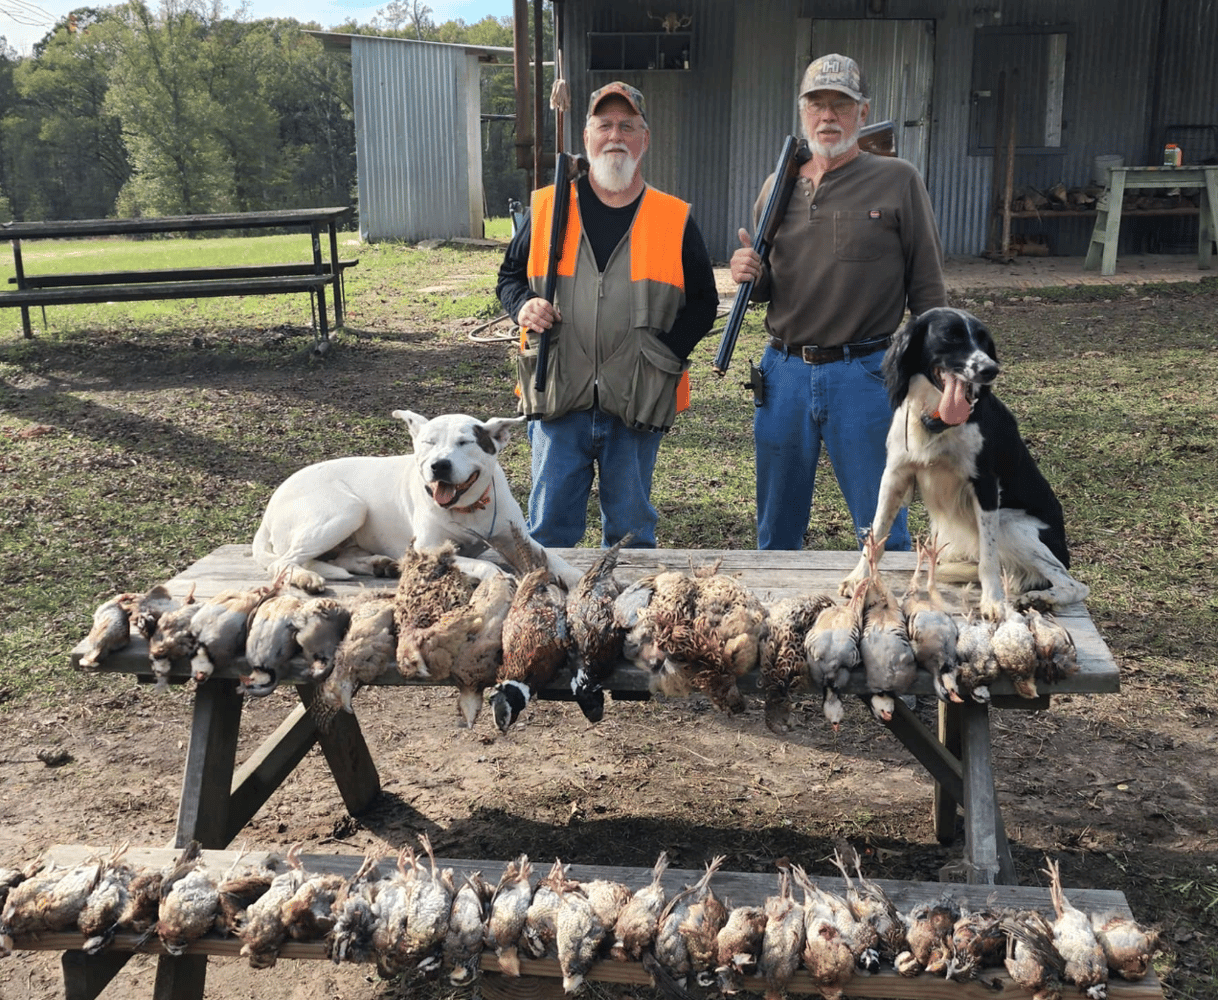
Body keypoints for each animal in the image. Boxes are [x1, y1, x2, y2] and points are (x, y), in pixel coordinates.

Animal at [249, 406, 577, 589]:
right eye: (428, 442)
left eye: (465, 442)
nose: (439, 465)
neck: (468, 508)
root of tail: (269, 510)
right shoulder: (429, 548)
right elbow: (482, 564)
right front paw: (495, 574)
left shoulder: (515, 537)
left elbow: (552, 556)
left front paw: (573, 576)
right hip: (348, 509)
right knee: (285, 562)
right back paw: (305, 578)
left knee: (334, 556)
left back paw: (379, 564)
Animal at [842, 305, 1091, 616]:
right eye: (951, 336)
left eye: (984, 341)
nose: (990, 370)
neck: (936, 420)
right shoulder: (895, 476)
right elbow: (875, 535)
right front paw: (859, 578)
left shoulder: (985, 485)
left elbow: (989, 556)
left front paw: (993, 600)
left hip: (1010, 524)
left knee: (1074, 584)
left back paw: (1040, 598)